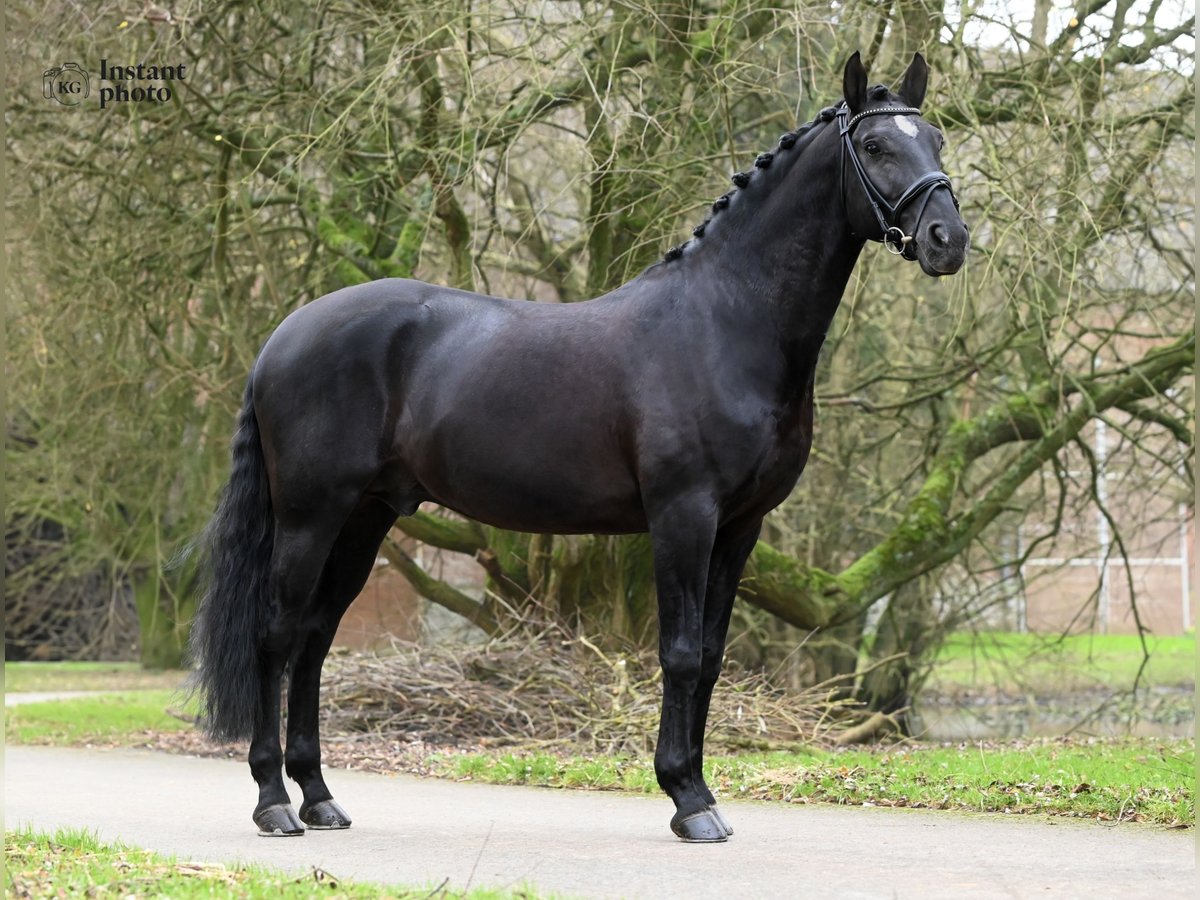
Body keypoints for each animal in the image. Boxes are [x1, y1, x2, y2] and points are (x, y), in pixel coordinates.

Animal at [192, 52, 969, 844]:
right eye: (875, 146)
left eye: (936, 139)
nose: (948, 239)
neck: (725, 323)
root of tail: (284, 338)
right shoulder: (683, 516)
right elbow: (680, 655)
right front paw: (688, 800)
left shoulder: (741, 527)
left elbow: (711, 657)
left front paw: (700, 790)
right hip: (311, 516)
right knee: (277, 636)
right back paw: (274, 801)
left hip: (365, 517)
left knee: (316, 638)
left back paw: (319, 797)